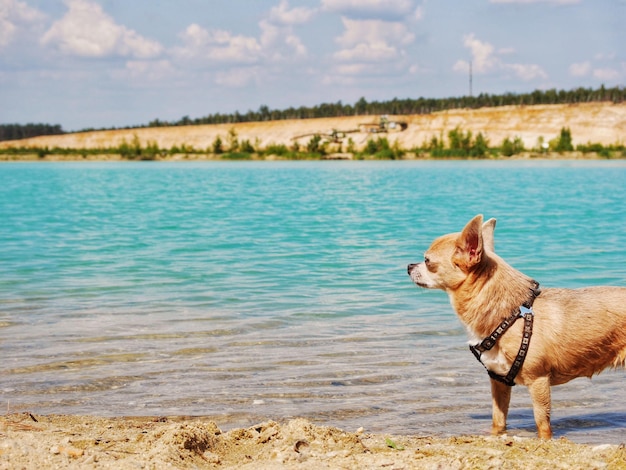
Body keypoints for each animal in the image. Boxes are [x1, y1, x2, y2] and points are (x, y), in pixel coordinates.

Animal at [404, 215, 624, 438]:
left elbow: (542, 424)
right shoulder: (499, 382)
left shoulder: (538, 382)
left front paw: (544, 441)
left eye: (427, 261)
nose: (409, 265)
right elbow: (498, 419)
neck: (510, 315)